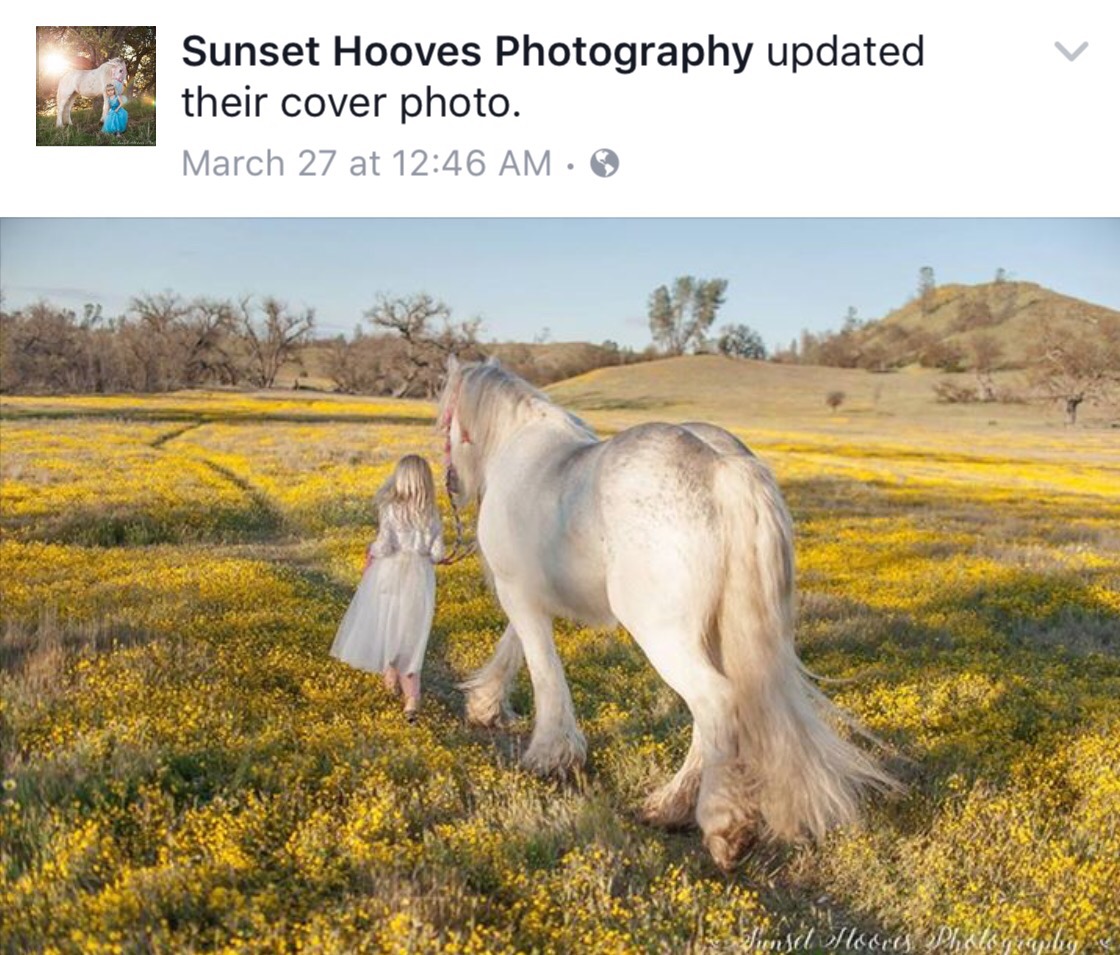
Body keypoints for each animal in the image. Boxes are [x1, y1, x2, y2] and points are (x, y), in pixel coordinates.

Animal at [439, 356, 900, 864]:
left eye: (444, 419)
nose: (455, 485)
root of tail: (721, 467)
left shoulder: (518, 592)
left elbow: (543, 669)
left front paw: (548, 754)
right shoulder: (529, 594)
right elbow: (515, 648)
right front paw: (486, 705)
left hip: (663, 635)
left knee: (714, 701)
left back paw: (722, 826)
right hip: (713, 635)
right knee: (715, 715)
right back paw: (671, 805)